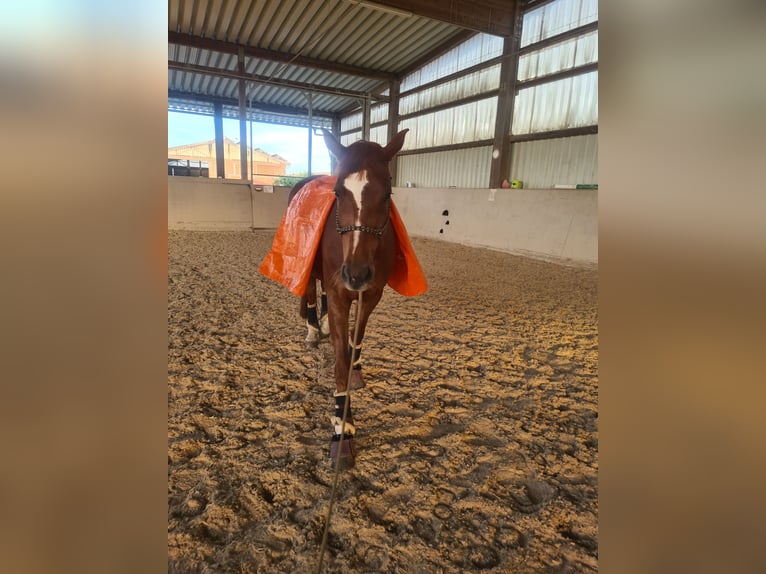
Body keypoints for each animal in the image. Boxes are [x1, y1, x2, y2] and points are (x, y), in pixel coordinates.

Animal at [286, 129, 408, 468]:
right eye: (339, 193)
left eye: (387, 193)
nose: (356, 273)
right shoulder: (341, 293)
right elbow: (340, 362)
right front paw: (343, 430)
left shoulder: (371, 295)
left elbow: (355, 343)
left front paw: (356, 371)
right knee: (310, 294)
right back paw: (313, 329)